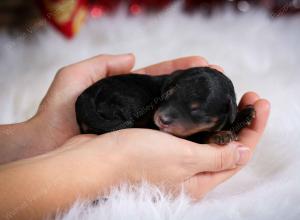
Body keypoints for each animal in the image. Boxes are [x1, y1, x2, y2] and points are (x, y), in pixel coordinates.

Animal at [75, 67, 255, 146]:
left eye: (196, 109)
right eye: (168, 95)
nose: (162, 119)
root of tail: (85, 96)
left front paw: (246, 114)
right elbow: (200, 135)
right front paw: (221, 135)